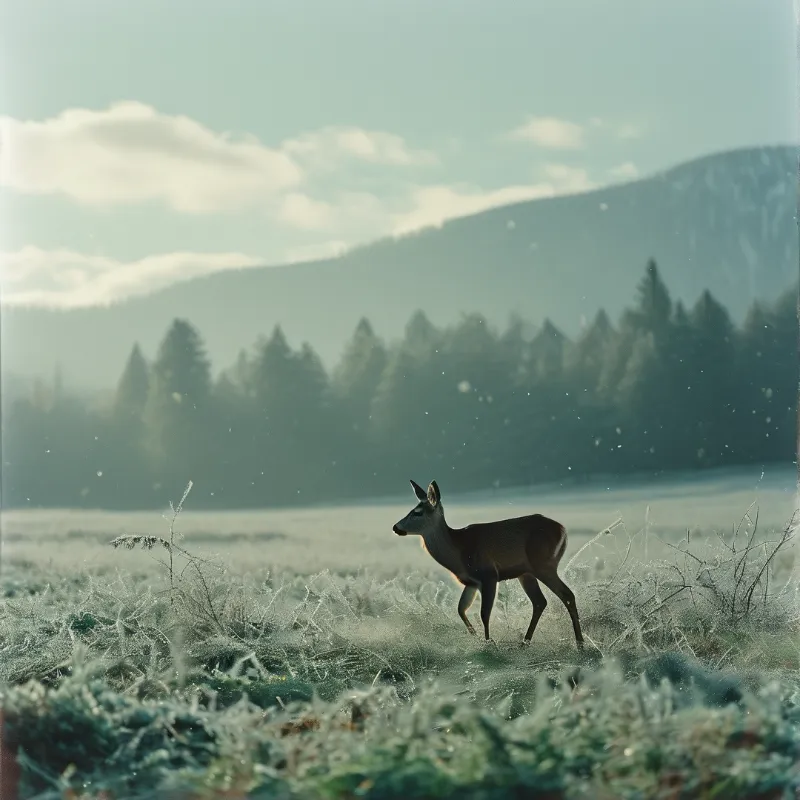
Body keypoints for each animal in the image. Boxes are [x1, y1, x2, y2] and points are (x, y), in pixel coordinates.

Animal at [392, 479, 584, 649]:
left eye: (418, 512)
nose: (396, 527)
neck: (459, 552)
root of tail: (563, 530)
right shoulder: (471, 582)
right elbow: (460, 609)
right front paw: (475, 637)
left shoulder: (489, 574)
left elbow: (484, 613)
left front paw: (490, 643)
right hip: (526, 573)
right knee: (540, 602)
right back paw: (524, 643)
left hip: (543, 564)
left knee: (567, 595)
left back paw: (580, 644)